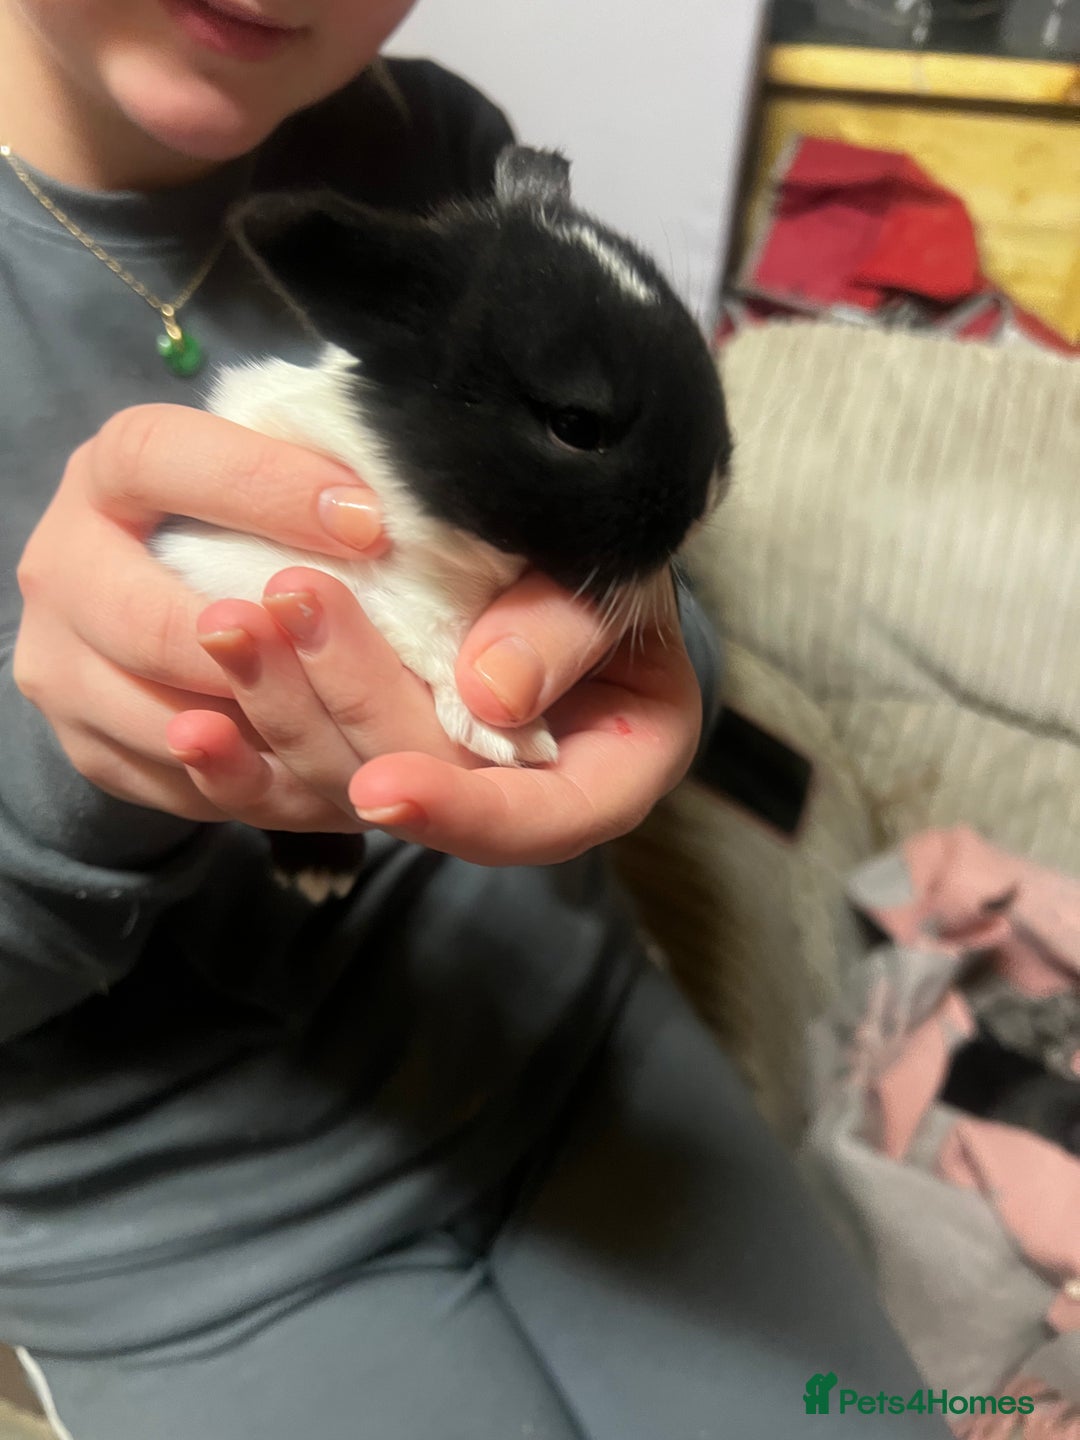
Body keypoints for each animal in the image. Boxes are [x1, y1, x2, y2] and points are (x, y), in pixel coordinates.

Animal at [153, 145, 731, 897]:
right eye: (576, 425)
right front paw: (510, 739)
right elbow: (404, 615)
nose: (708, 496)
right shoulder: (249, 561)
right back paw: (318, 869)